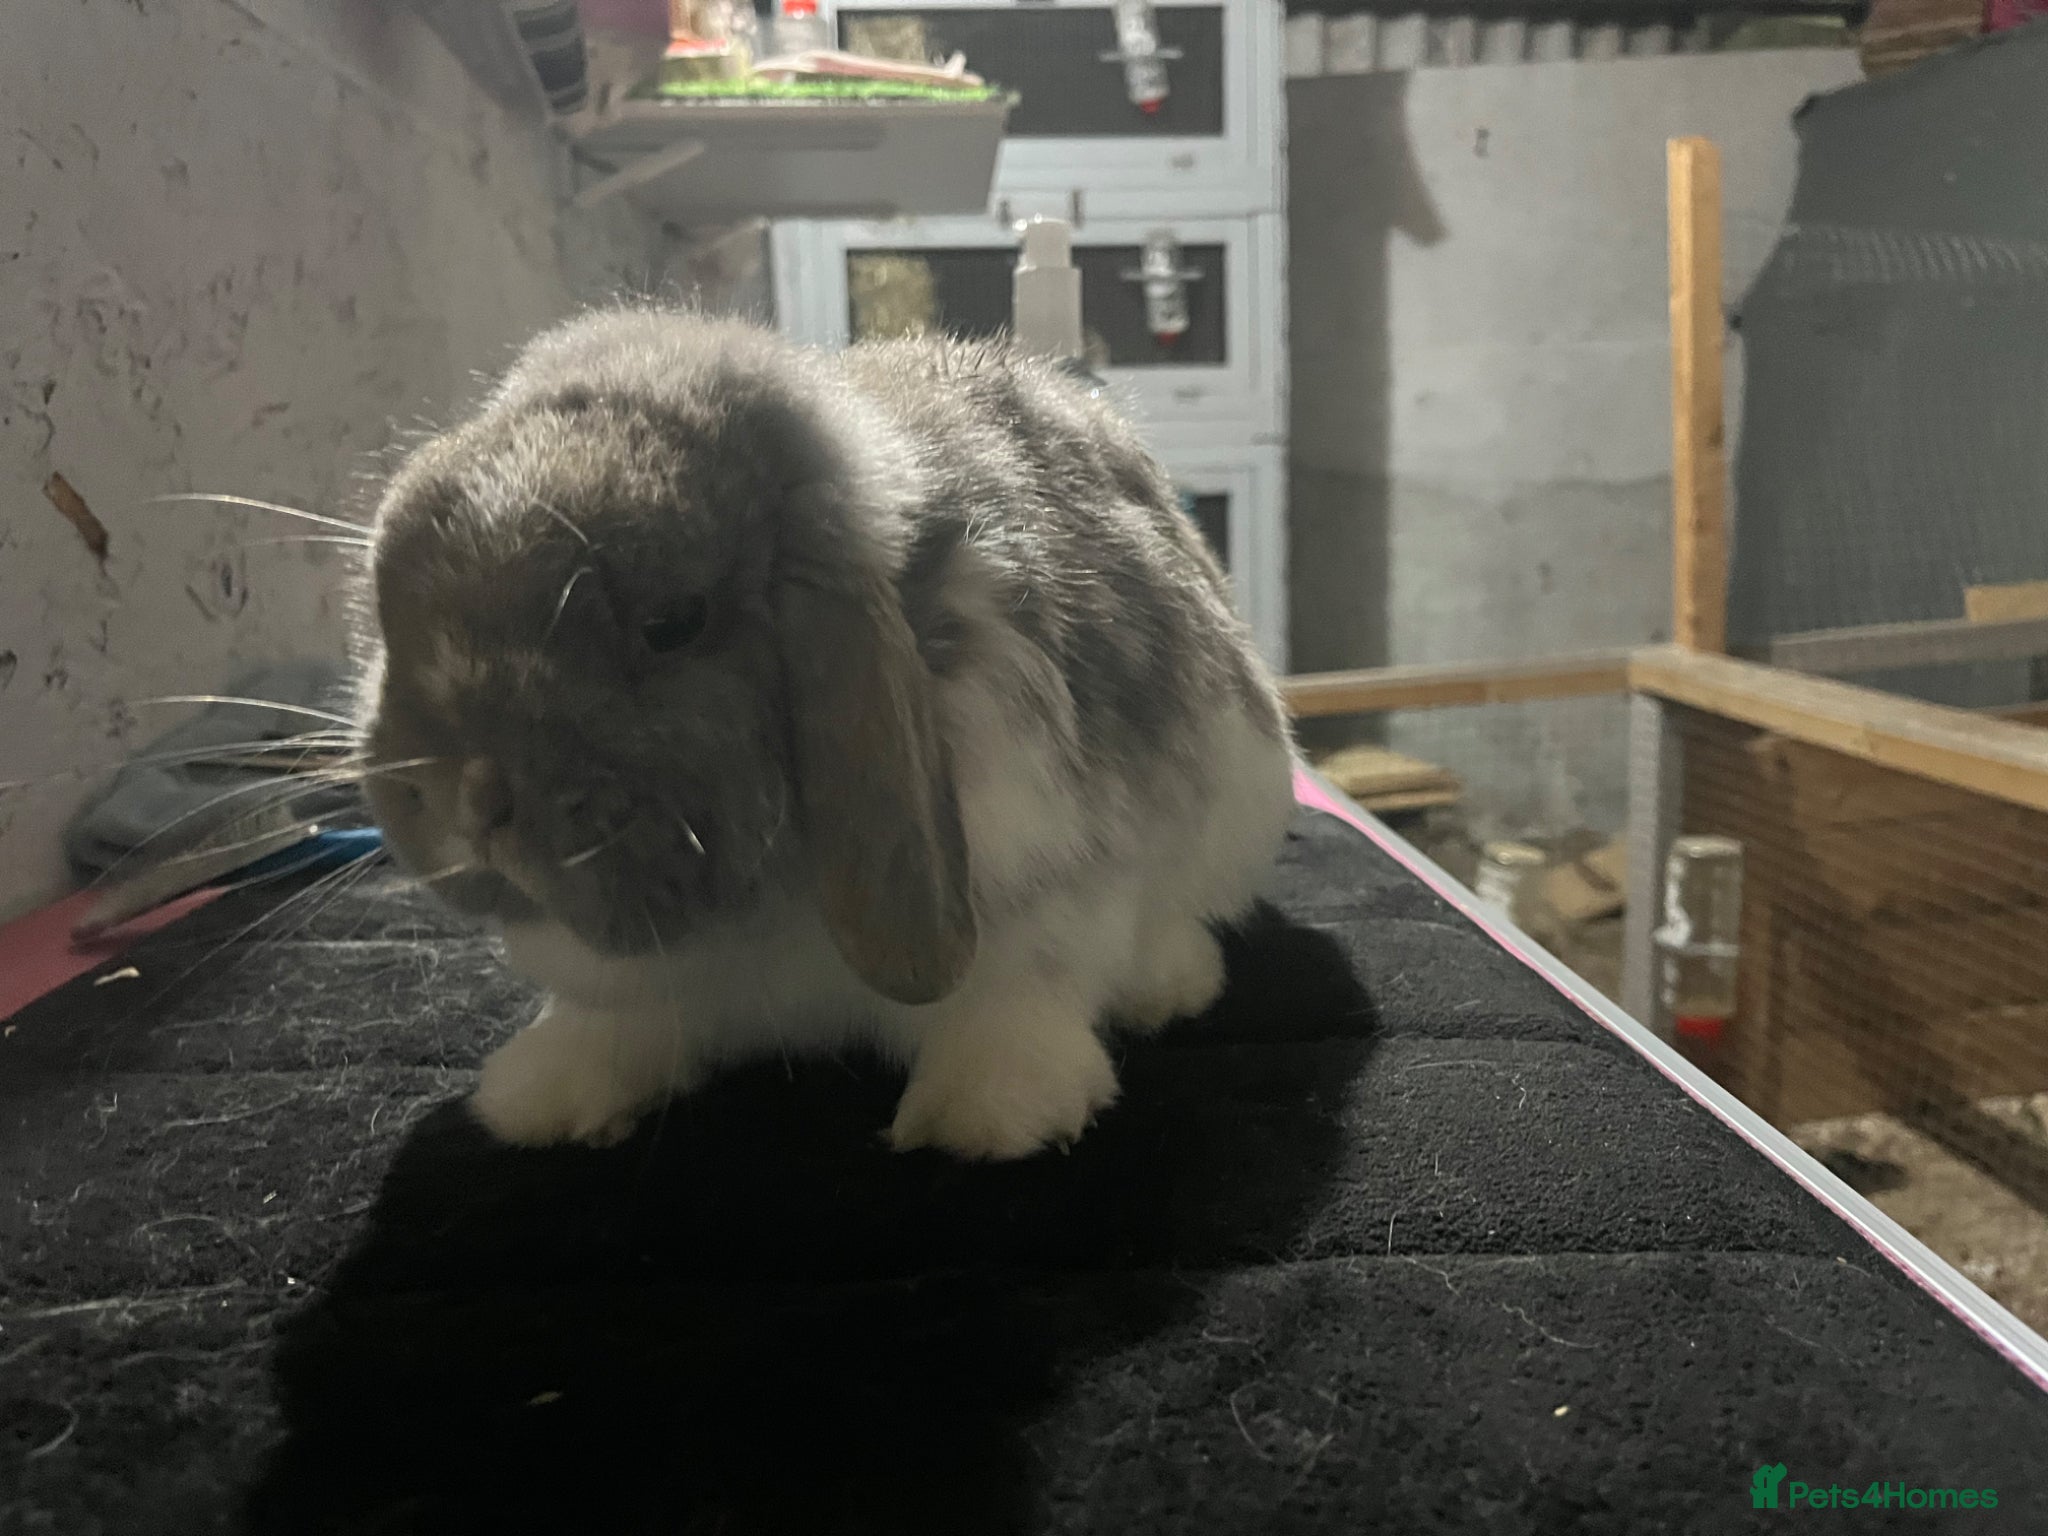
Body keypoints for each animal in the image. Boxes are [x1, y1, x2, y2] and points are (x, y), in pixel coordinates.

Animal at [354, 309, 1296, 1160]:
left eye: (673, 622)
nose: (469, 797)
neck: (767, 908)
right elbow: (612, 1029)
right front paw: (545, 1095)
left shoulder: (1046, 894)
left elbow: (1017, 1000)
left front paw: (992, 1115)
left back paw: (1166, 985)